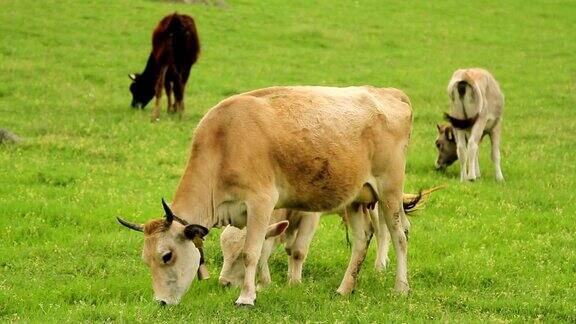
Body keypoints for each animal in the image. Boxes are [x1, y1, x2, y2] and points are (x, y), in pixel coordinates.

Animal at [117, 85, 414, 306]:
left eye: (167, 256)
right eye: (147, 260)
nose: (160, 302)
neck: (224, 142)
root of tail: (390, 93)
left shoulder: (261, 203)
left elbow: (252, 252)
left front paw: (246, 298)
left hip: (389, 190)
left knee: (399, 235)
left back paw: (401, 287)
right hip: (355, 199)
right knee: (362, 240)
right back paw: (344, 289)